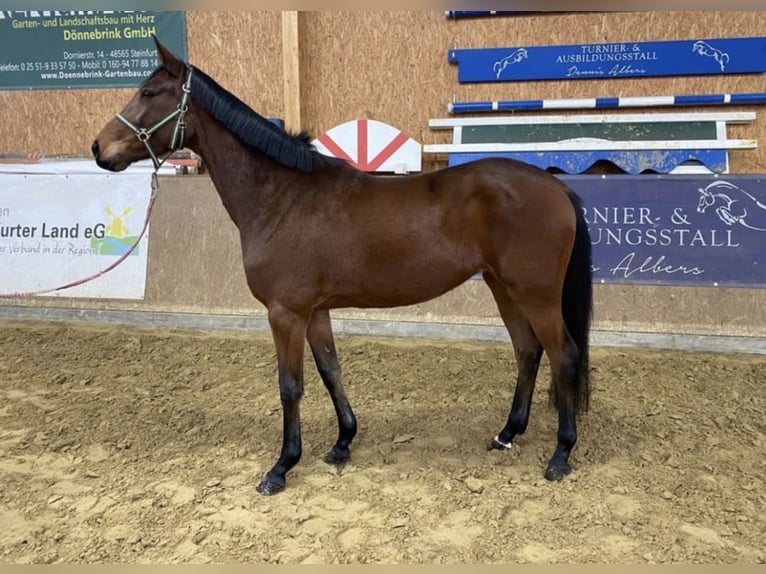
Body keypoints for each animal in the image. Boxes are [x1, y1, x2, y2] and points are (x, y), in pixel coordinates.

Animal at [92, 37, 593, 496]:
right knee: (528, 351)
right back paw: (507, 433)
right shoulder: (315, 310)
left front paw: (282, 467)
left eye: (149, 93)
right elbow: (330, 370)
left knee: (564, 354)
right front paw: (342, 443)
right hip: (501, 286)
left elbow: (290, 385)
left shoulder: (285, 313)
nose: (99, 148)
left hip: (535, 292)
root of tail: (555, 186)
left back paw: (561, 453)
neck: (282, 197)